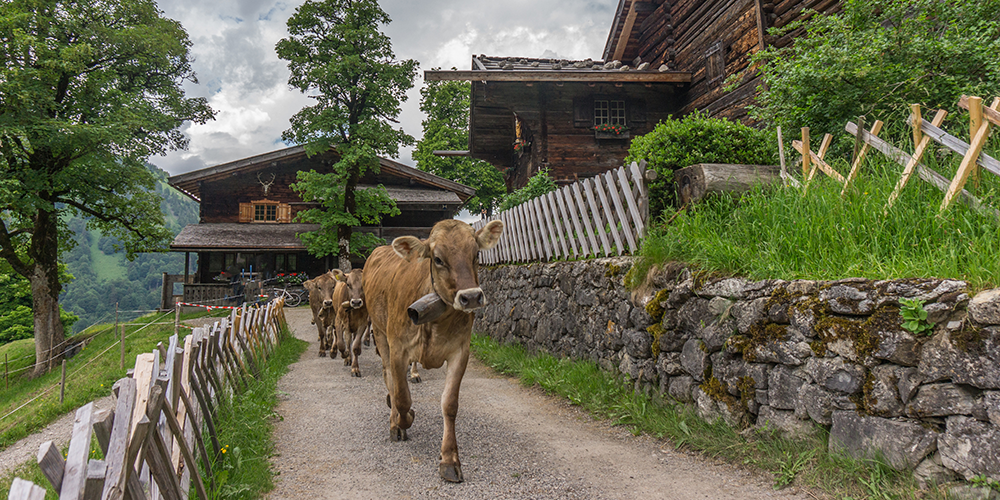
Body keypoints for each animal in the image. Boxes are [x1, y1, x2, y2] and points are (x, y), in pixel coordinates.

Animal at [364, 217, 504, 482]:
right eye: (437, 259)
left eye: (476, 254)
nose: (471, 297)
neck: (437, 322)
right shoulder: (398, 348)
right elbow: (402, 397)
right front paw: (403, 419)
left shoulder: (460, 351)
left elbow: (449, 404)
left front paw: (449, 460)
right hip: (379, 332)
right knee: (389, 378)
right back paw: (394, 422)